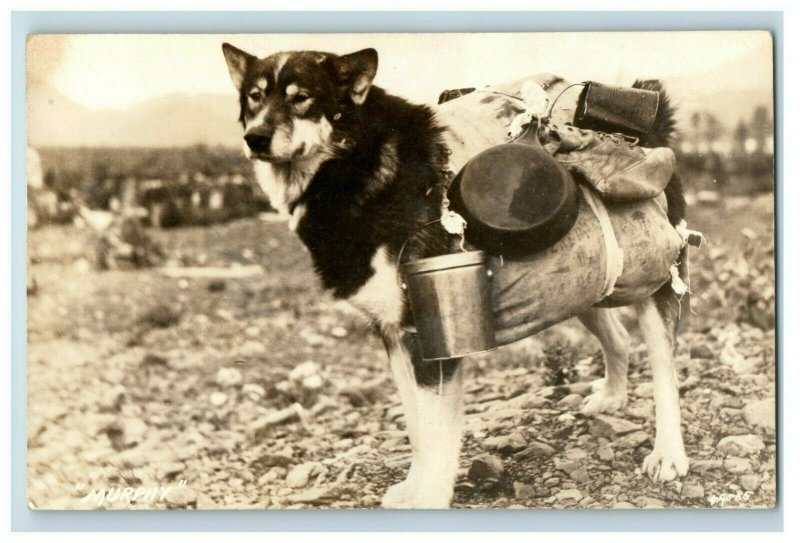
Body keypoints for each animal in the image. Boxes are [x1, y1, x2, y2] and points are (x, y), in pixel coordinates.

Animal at [222, 43, 692, 510]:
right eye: (255, 98)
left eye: (301, 98)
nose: (255, 138)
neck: (361, 167)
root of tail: (652, 126)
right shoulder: (395, 335)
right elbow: (416, 427)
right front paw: (412, 486)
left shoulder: (432, 341)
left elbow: (435, 433)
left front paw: (430, 495)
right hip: (579, 286)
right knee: (618, 336)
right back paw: (612, 396)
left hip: (654, 284)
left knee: (664, 372)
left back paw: (668, 454)